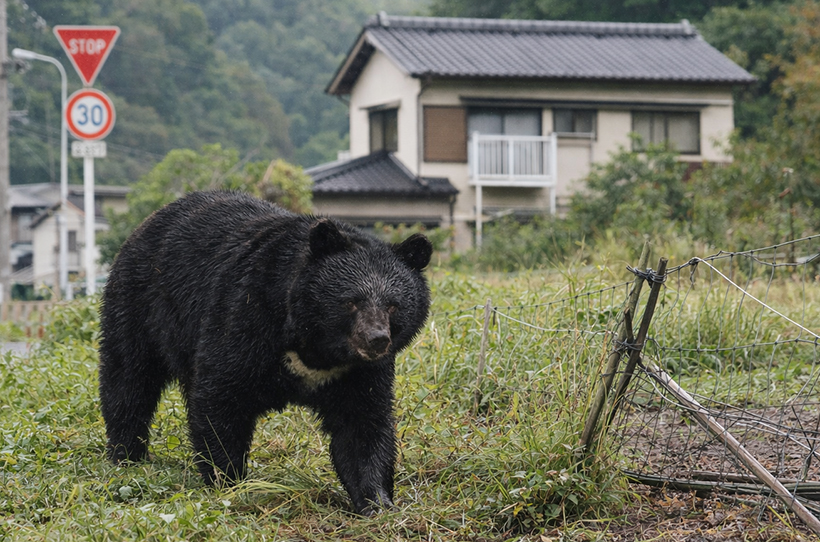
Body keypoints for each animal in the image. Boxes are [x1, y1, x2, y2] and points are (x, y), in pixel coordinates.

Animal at [98, 190, 432, 515]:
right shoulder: (246, 317)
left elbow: (363, 425)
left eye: (393, 305)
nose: (376, 339)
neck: (317, 348)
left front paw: (378, 503)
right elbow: (221, 399)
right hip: (140, 305)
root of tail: (148, 222)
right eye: (352, 301)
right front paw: (228, 482)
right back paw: (127, 455)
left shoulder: (361, 372)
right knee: (129, 379)